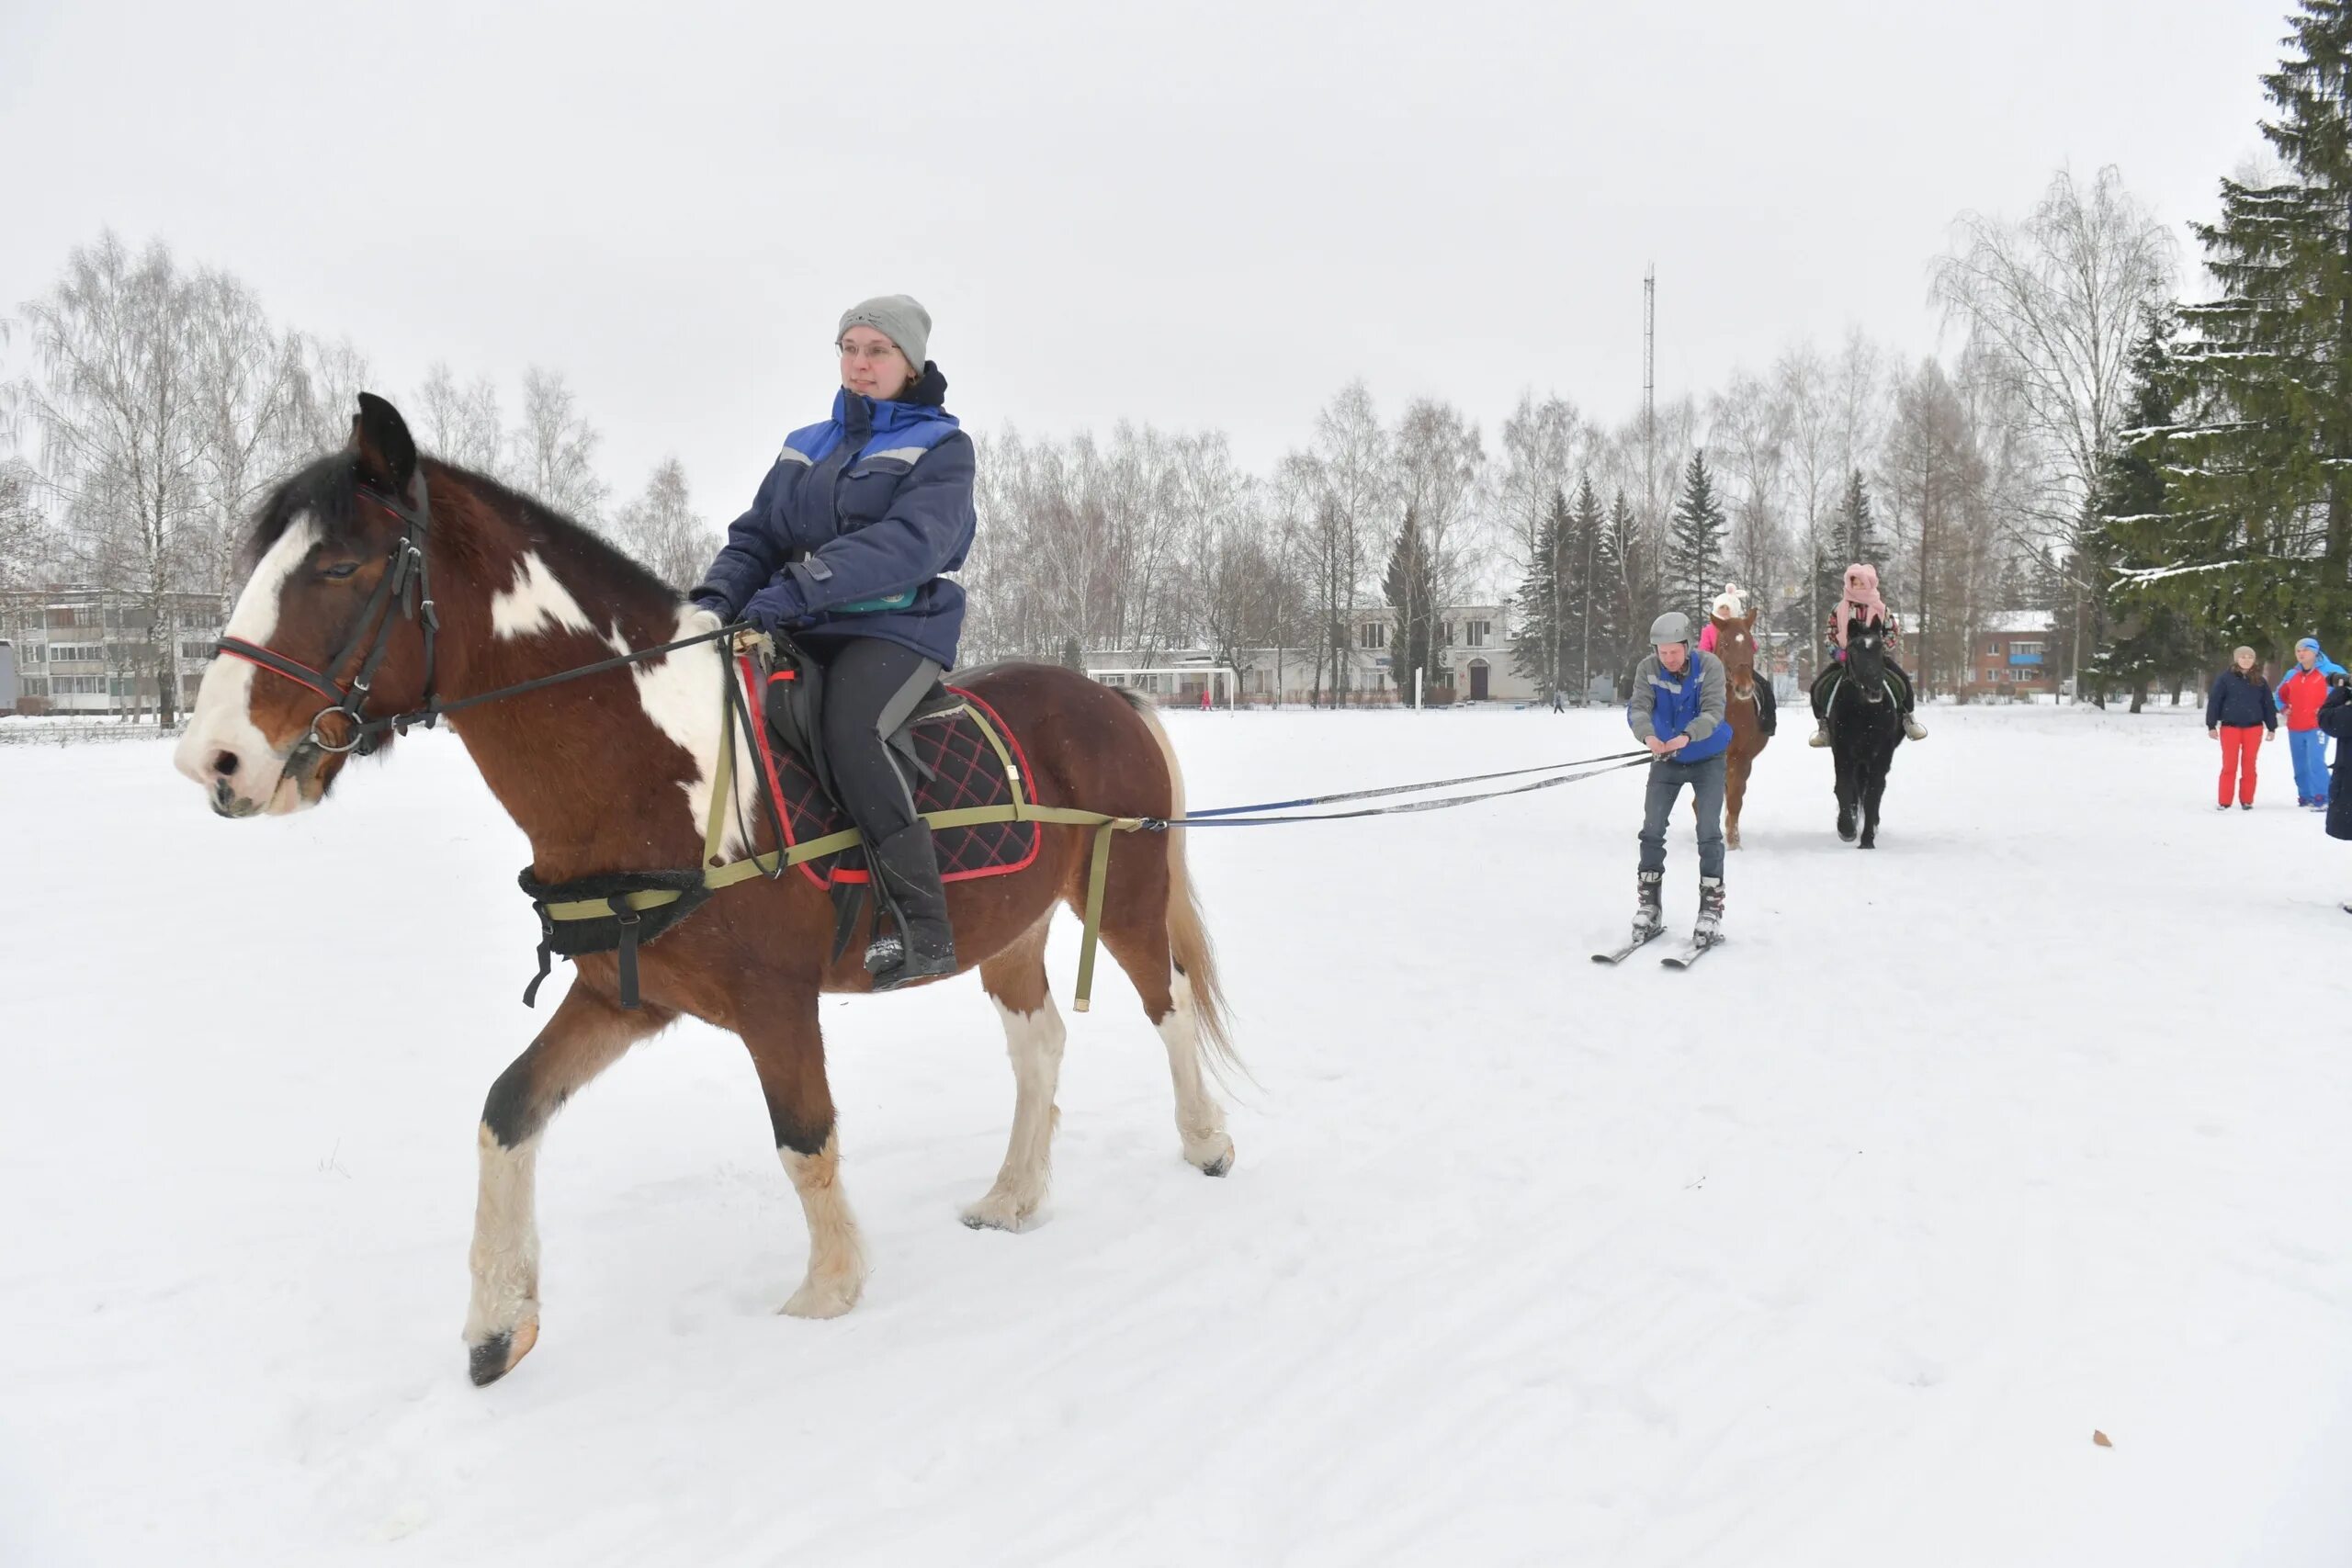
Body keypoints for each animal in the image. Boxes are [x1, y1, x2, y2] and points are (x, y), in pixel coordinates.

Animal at [174, 400, 1241, 1392]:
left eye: (342, 567)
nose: (211, 760)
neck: (654, 770)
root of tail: (1113, 697)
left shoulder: (776, 1003)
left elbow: (804, 1140)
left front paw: (828, 1293)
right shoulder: (625, 994)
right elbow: (506, 1110)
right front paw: (496, 1322)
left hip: (1128, 896)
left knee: (1170, 1006)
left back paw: (1205, 1142)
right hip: (1008, 929)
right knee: (1038, 1043)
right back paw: (1015, 1195)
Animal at [1702, 611, 1769, 851]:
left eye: (1751, 643)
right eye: (1725, 643)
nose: (1744, 688)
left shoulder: (1740, 758)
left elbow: (1734, 800)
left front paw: (1734, 843)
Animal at [1815, 620, 1909, 851]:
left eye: (1881, 648)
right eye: (1853, 650)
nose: (1874, 688)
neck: (1864, 711)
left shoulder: (1882, 754)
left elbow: (1873, 793)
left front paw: (1867, 838)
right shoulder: (1843, 751)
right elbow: (1843, 786)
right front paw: (1846, 829)